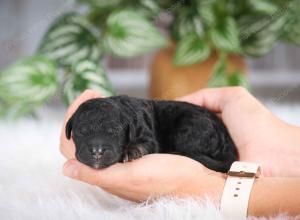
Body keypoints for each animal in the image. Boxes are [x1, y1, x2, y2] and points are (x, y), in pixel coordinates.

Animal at [65, 95, 237, 173]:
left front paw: (131, 151)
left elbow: (143, 144)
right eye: (81, 131)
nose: (97, 151)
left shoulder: (149, 137)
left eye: (114, 131)